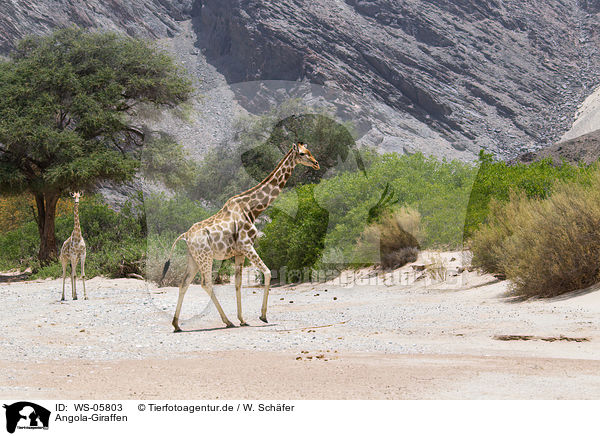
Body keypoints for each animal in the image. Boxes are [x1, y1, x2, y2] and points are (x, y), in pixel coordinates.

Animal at [159, 142, 318, 330]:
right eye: (302, 154)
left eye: (309, 151)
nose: (316, 163)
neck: (252, 209)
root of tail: (186, 236)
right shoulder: (247, 245)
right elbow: (268, 272)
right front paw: (263, 316)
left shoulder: (239, 252)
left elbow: (238, 283)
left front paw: (243, 319)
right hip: (205, 256)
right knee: (206, 283)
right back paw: (227, 321)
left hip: (193, 258)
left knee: (184, 283)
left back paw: (177, 324)